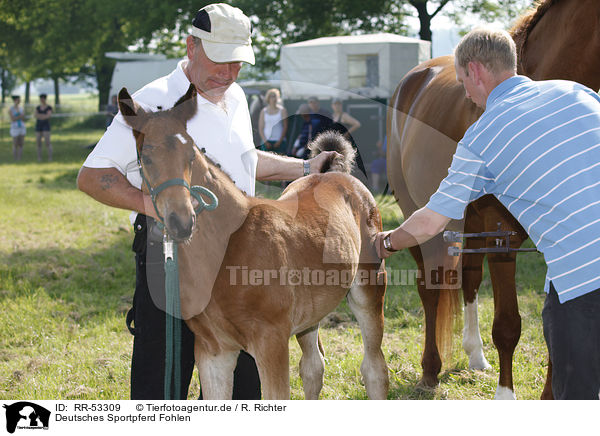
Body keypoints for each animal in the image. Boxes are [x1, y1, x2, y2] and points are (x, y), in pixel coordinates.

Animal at [117, 84, 390, 398]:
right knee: (313, 367)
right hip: (310, 313)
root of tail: (337, 174)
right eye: (145, 158)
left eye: (192, 156)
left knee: (374, 368)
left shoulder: (271, 341)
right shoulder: (213, 350)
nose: (181, 220)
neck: (227, 247)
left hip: (368, 289)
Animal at [386, 0, 596, 398]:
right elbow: (509, 325)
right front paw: (505, 395)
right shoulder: (503, 236)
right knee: (430, 287)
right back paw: (430, 370)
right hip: (419, 213)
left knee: (468, 279)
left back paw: (475, 355)